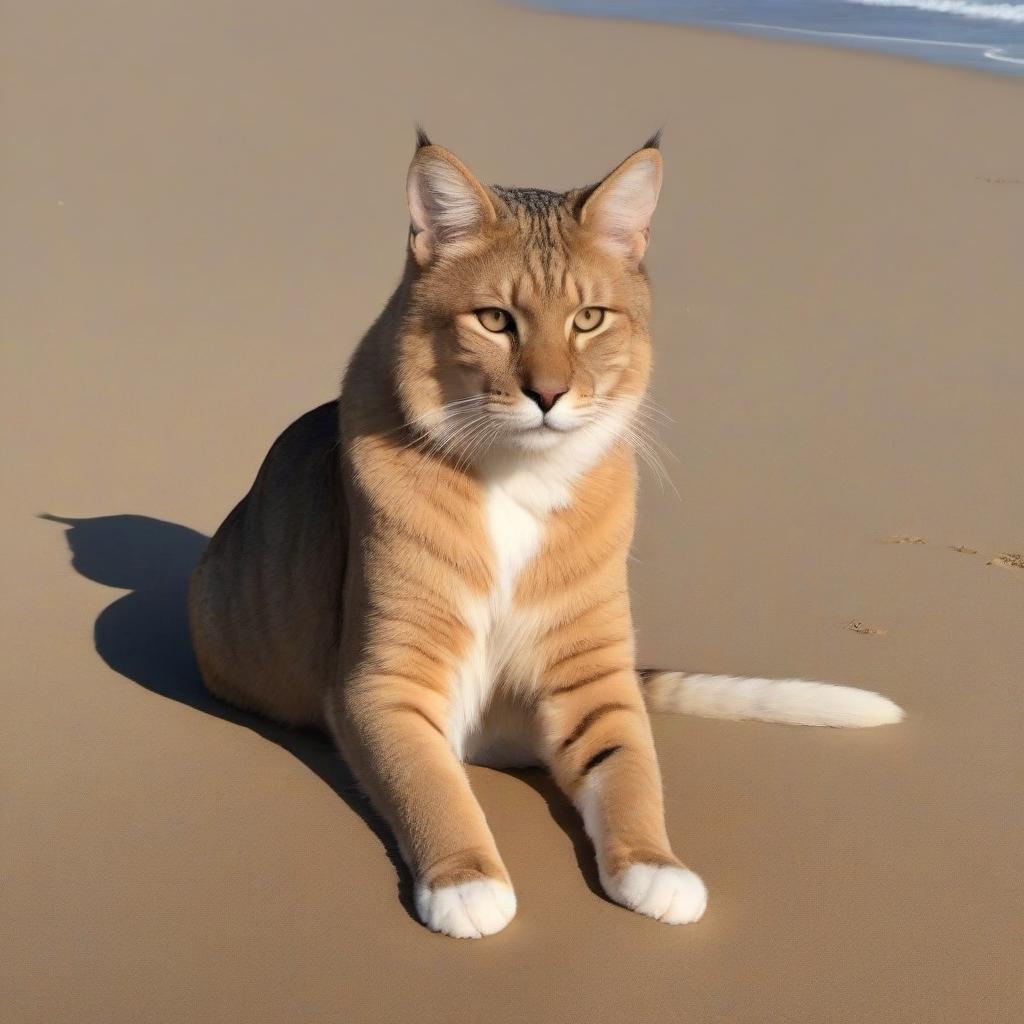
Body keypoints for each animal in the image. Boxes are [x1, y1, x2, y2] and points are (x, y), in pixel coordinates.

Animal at [188, 132, 901, 937]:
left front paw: (656, 865)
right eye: (495, 320)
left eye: (589, 319)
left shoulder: (594, 674)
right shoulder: (383, 681)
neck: (515, 477)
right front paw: (468, 880)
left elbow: (631, 772)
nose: (549, 395)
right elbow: (432, 786)